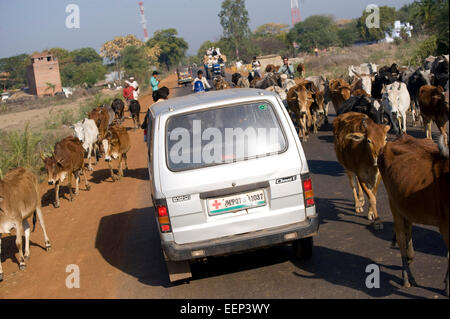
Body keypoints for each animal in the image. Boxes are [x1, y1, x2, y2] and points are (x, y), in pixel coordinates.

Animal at [378, 134, 448, 296]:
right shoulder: (445, 227)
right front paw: (447, 287)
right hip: (394, 204)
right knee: (401, 239)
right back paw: (407, 277)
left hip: (406, 205)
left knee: (408, 231)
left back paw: (410, 262)